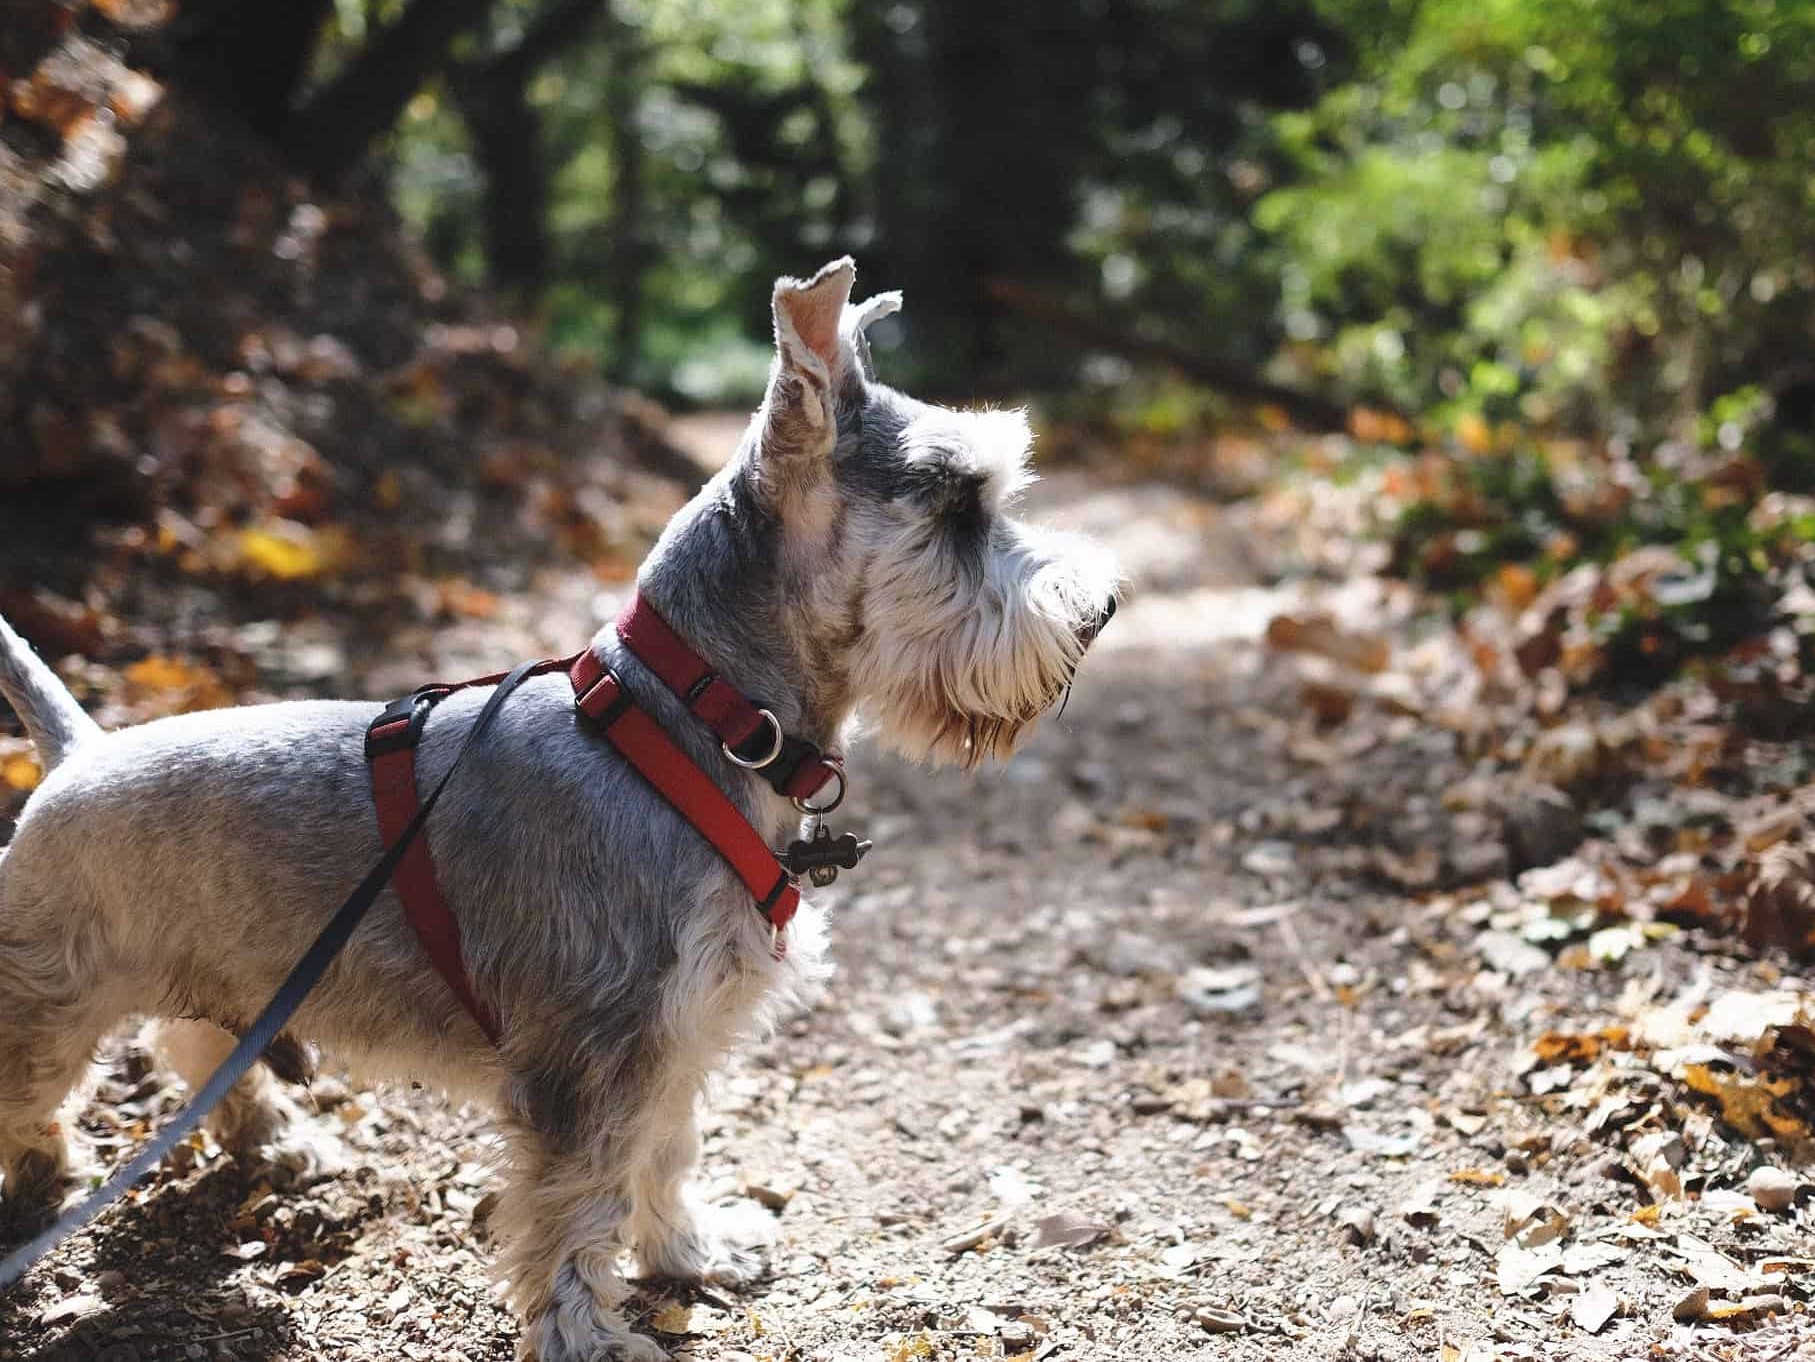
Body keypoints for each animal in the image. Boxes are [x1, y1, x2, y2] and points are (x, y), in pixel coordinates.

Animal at [0, 257, 1118, 1362]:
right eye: (958, 505)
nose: (1100, 609)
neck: (690, 723)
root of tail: (76, 752)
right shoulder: (592, 1051)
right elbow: (577, 1205)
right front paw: (585, 1331)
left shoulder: (676, 1031)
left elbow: (663, 1154)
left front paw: (693, 1250)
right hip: (51, 998)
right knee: (33, 1092)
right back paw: (47, 1178)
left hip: (221, 973)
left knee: (195, 1049)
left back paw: (274, 1141)